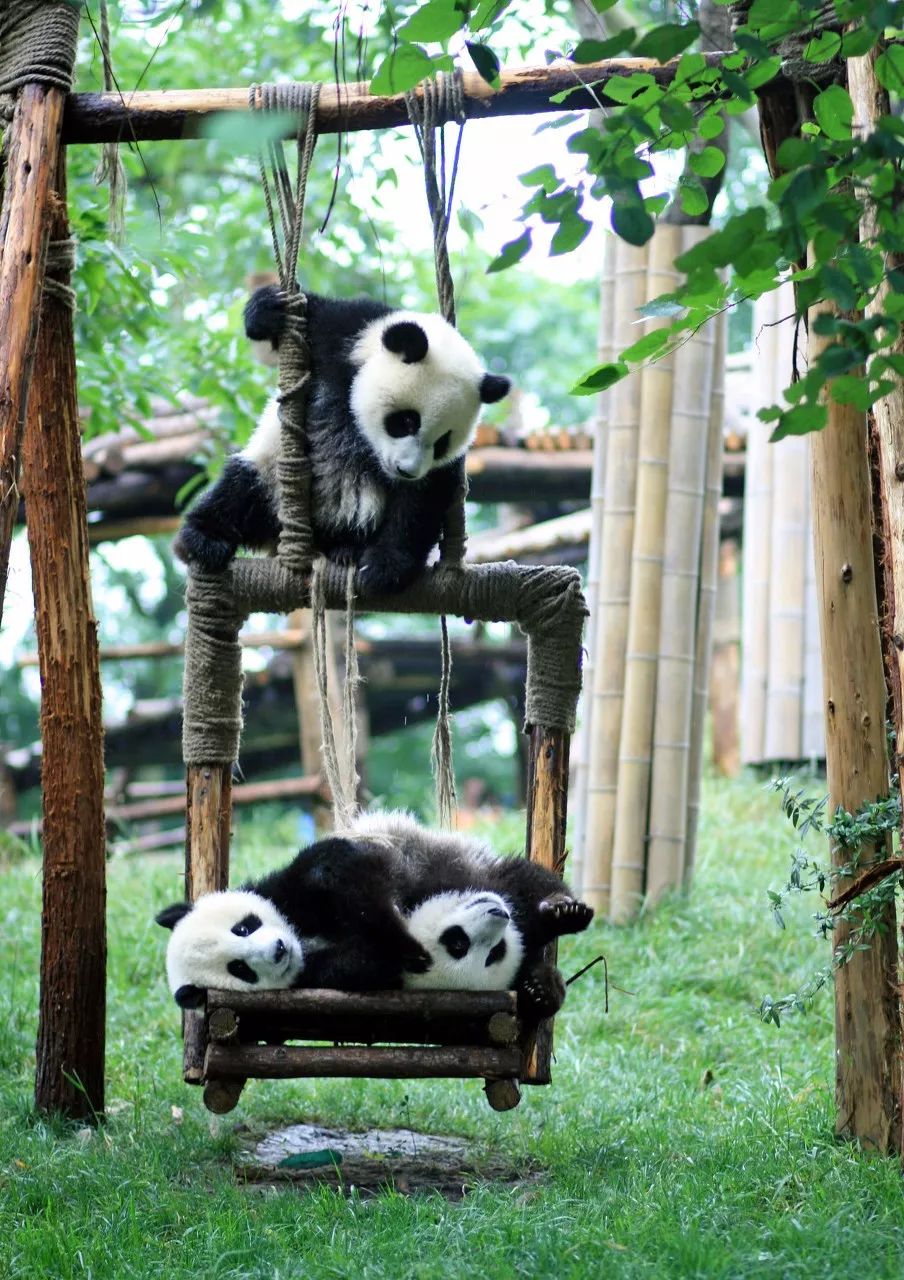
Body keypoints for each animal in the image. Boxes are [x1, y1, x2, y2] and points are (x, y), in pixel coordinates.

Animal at [169, 285, 507, 593]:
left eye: (442, 443)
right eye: (407, 421)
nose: (407, 471)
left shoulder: (442, 468)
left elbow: (420, 503)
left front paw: (382, 568)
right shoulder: (345, 337)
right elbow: (313, 316)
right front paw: (269, 309)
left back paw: (348, 551)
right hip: (269, 477)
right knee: (240, 489)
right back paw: (204, 539)